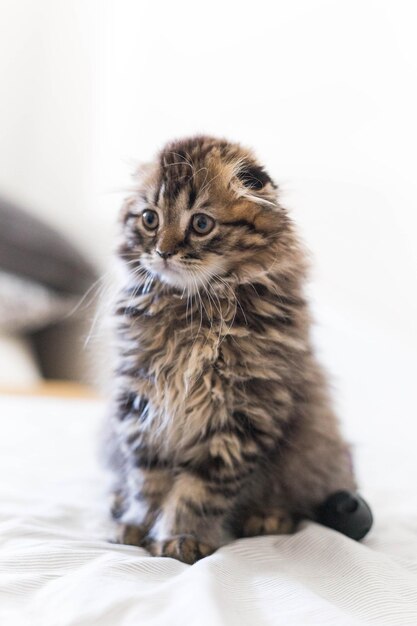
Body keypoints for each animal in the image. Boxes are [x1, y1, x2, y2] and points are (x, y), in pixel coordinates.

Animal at [105, 134, 356, 564]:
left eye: (201, 224)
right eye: (150, 219)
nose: (163, 252)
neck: (191, 311)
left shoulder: (242, 413)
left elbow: (198, 491)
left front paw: (181, 537)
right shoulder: (141, 402)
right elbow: (146, 477)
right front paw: (138, 524)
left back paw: (267, 518)